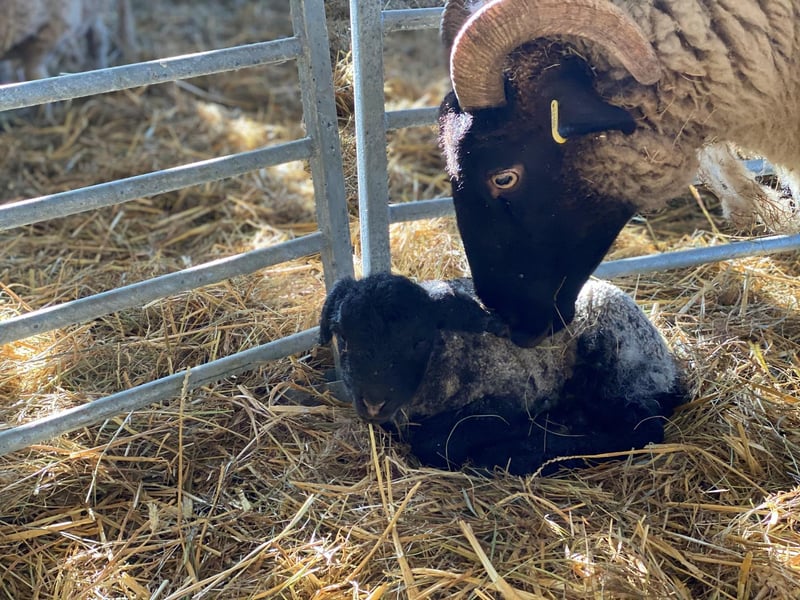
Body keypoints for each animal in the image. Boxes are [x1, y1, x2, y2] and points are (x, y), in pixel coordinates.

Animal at [319, 272, 687, 475]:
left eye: (419, 340)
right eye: (342, 335)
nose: (373, 403)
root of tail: (668, 365)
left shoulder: (507, 397)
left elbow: (438, 443)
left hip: (612, 364)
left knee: (643, 428)